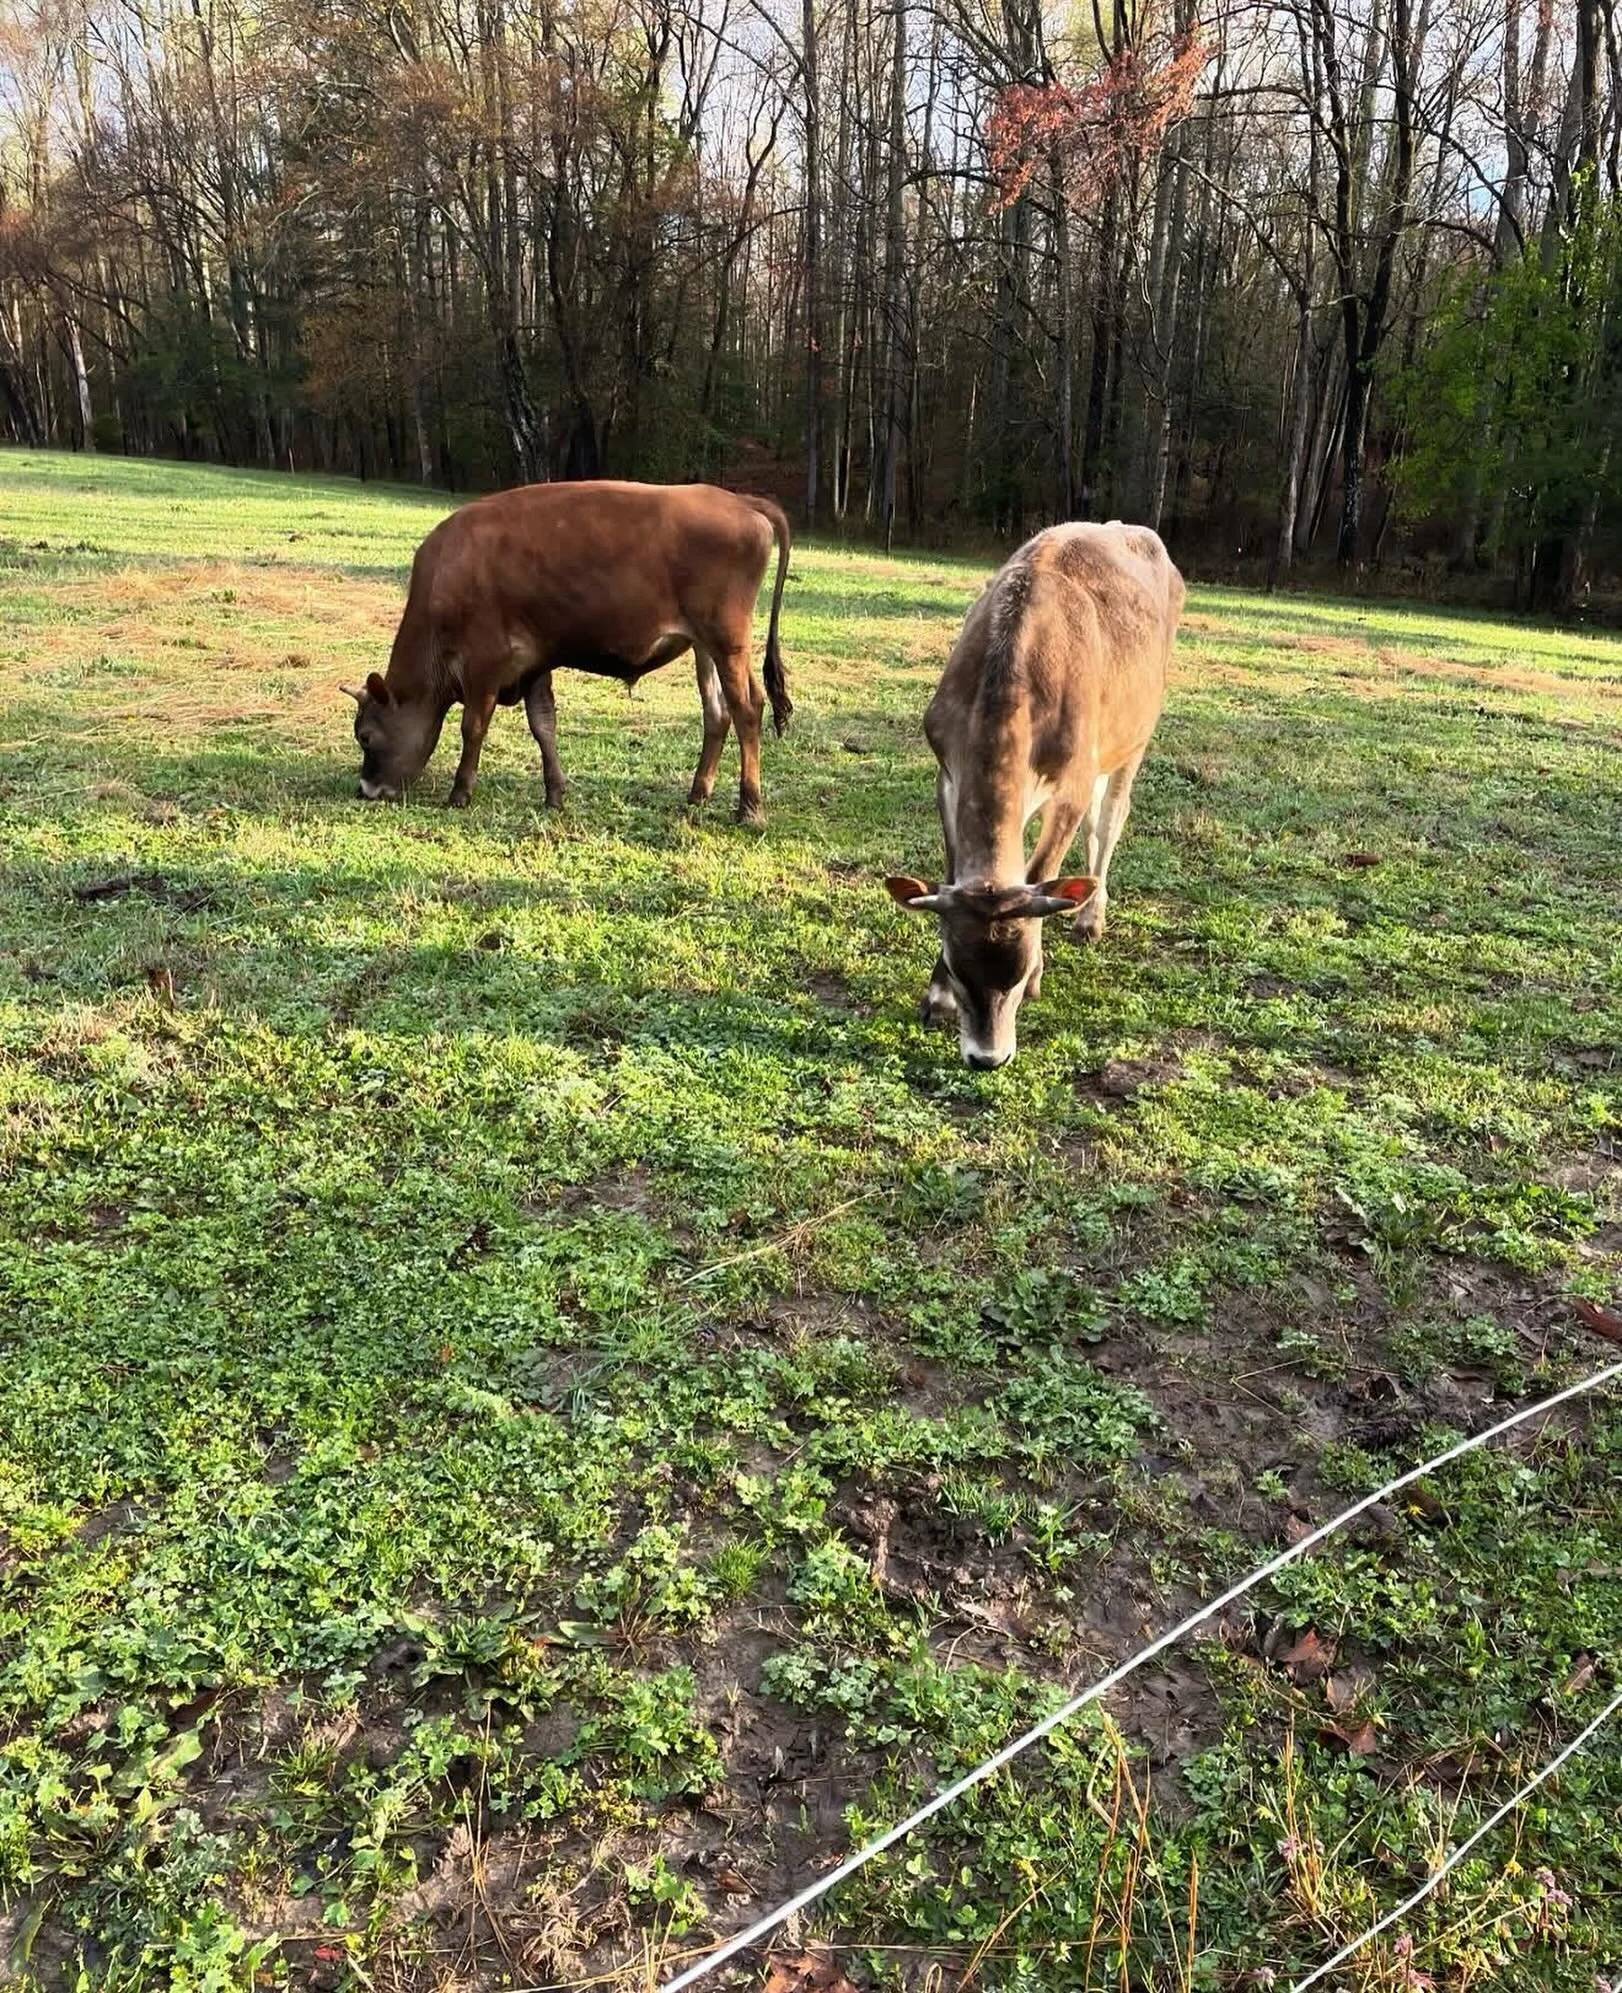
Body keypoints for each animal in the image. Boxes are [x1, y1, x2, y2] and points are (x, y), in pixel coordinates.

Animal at [345, 480, 792, 823]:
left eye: (366, 736)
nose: (366, 789)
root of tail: (738, 500)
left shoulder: (484, 664)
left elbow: (473, 727)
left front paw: (460, 793)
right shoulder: (534, 665)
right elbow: (544, 726)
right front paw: (555, 795)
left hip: (726, 641)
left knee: (746, 710)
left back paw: (750, 808)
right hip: (706, 647)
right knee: (717, 714)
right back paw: (699, 792)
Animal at [885, 521, 1183, 1070]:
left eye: (1020, 974)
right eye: (956, 968)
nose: (988, 1057)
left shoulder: (1073, 783)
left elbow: (1043, 871)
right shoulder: (947, 772)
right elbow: (952, 870)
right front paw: (935, 998)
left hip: (1134, 737)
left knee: (1110, 819)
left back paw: (1090, 918)